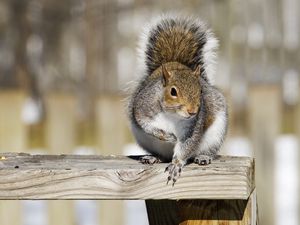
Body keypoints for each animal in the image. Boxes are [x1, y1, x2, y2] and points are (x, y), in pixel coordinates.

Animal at [126, 14, 227, 185]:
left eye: (201, 90)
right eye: (173, 91)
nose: (192, 111)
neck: (172, 115)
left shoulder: (193, 127)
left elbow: (186, 146)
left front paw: (177, 164)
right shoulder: (143, 107)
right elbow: (145, 124)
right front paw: (166, 135)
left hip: (215, 134)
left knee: (208, 151)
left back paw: (204, 157)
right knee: (162, 155)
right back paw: (154, 157)